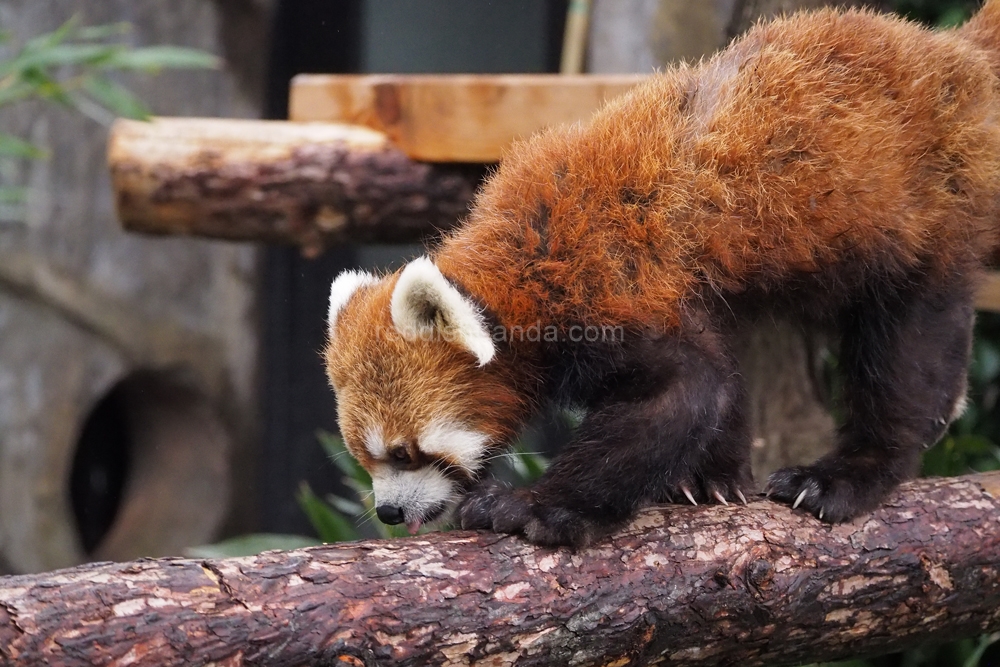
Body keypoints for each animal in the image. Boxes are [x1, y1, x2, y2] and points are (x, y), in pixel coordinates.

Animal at [324, 3, 1000, 548]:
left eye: (407, 452)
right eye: (364, 456)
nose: (388, 512)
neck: (524, 267)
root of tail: (956, 56)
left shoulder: (606, 288)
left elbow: (683, 388)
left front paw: (533, 506)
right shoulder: (683, 289)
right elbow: (720, 374)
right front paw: (710, 478)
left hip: (924, 219)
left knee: (906, 351)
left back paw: (849, 472)